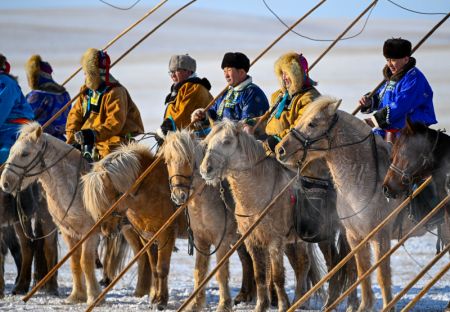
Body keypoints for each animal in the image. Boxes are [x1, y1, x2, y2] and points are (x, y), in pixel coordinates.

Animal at [81, 143, 188, 310]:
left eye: (106, 199)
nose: (106, 230)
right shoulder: (147, 237)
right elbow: (154, 267)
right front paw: (155, 298)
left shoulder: (167, 234)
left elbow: (162, 268)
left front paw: (161, 301)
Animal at [276, 96, 448, 310]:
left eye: (312, 123)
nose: (280, 150)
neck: (362, 180)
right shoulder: (355, 237)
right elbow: (362, 273)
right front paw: (363, 306)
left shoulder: (380, 236)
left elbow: (382, 276)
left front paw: (387, 306)